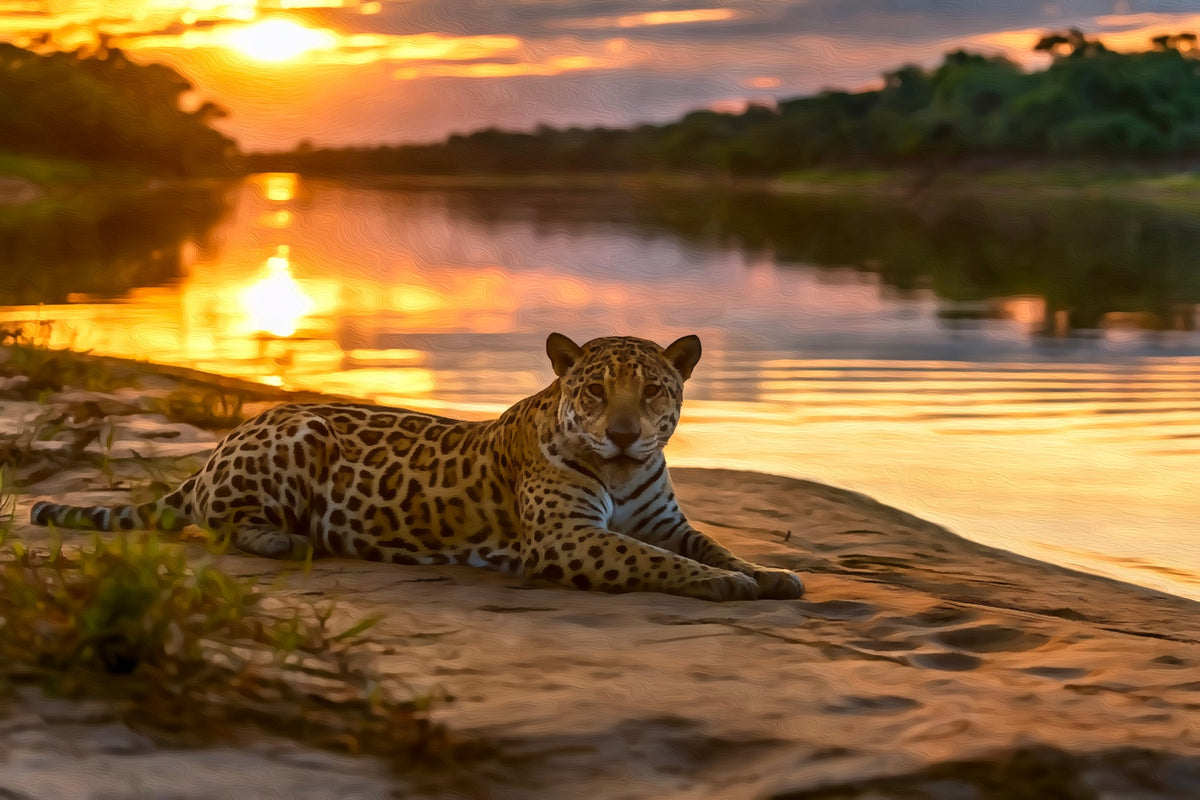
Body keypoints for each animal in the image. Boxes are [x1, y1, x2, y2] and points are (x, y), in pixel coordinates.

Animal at [31, 333, 805, 602]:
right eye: (592, 392)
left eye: (650, 392)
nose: (620, 435)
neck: (619, 473)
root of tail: (222, 443)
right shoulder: (569, 537)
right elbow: (658, 562)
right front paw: (726, 586)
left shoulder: (665, 521)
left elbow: (709, 543)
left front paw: (766, 572)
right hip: (300, 434)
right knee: (210, 519)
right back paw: (284, 537)